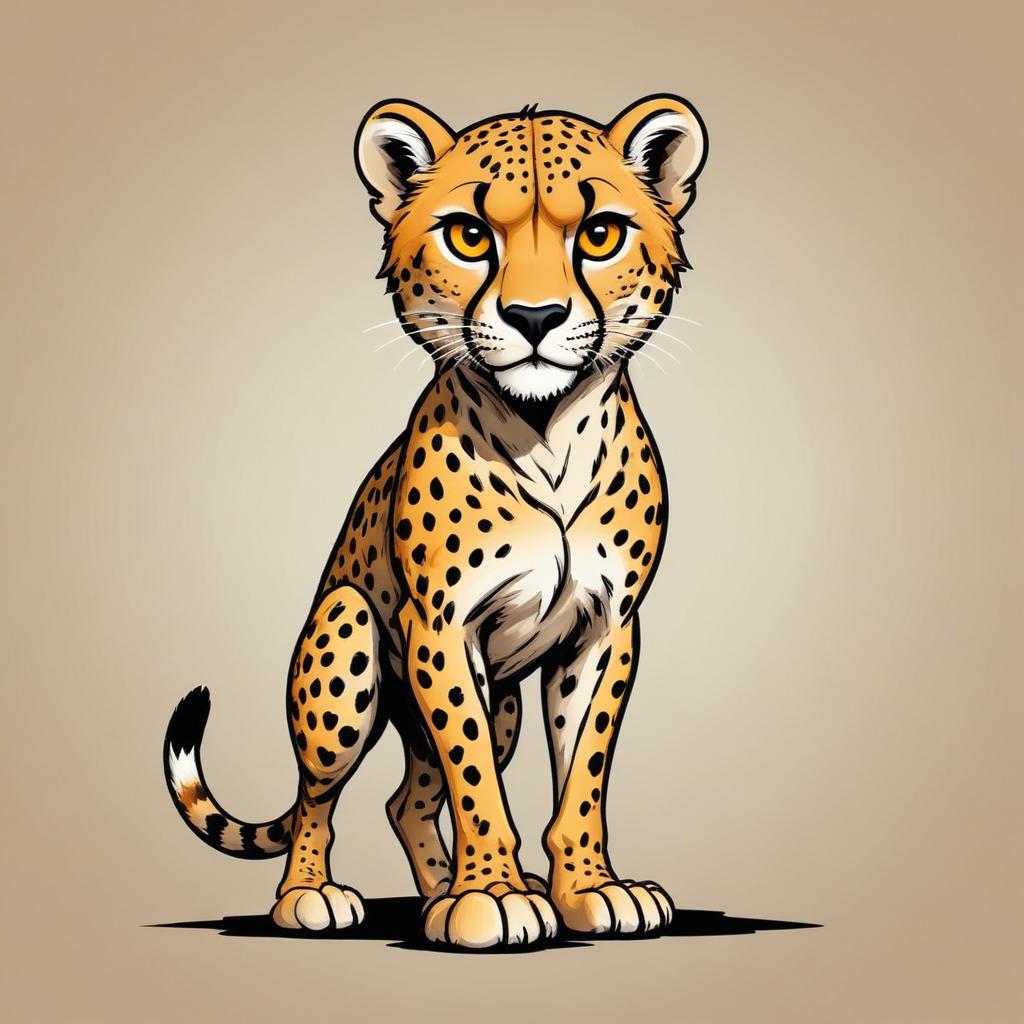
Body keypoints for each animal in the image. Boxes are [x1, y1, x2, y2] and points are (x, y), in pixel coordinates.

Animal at [164, 94, 708, 949]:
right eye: (470, 235)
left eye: (599, 233)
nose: (534, 315)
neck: (548, 432)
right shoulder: (443, 629)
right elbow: (474, 775)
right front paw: (492, 897)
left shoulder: (606, 629)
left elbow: (582, 773)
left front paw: (587, 888)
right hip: (346, 643)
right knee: (322, 796)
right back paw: (312, 896)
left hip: (504, 701)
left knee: (407, 799)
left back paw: (440, 894)